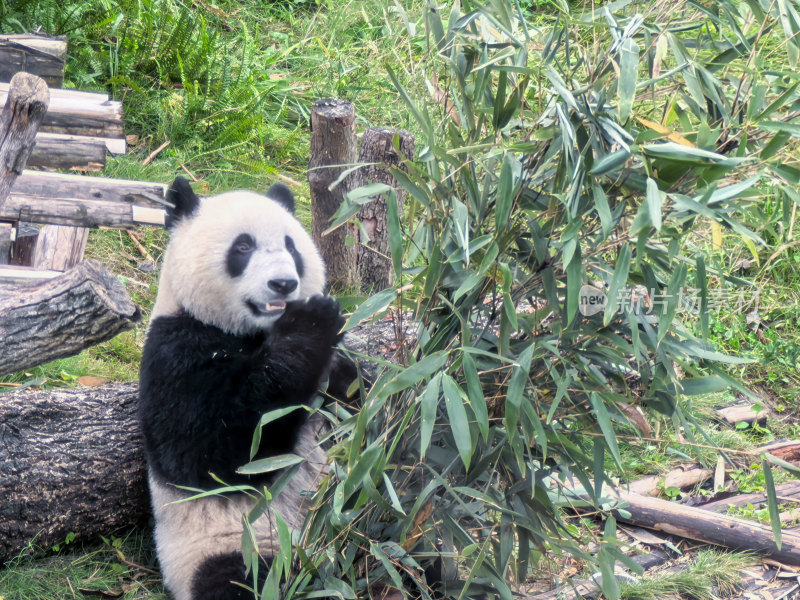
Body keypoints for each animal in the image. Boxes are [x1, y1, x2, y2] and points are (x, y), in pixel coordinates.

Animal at [139, 177, 352, 600]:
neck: (254, 334)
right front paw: (314, 322)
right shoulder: (175, 349)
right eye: (243, 247)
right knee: (238, 581)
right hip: (238, 546)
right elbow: (215, 452)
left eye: (291, 247)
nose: (283, 284)